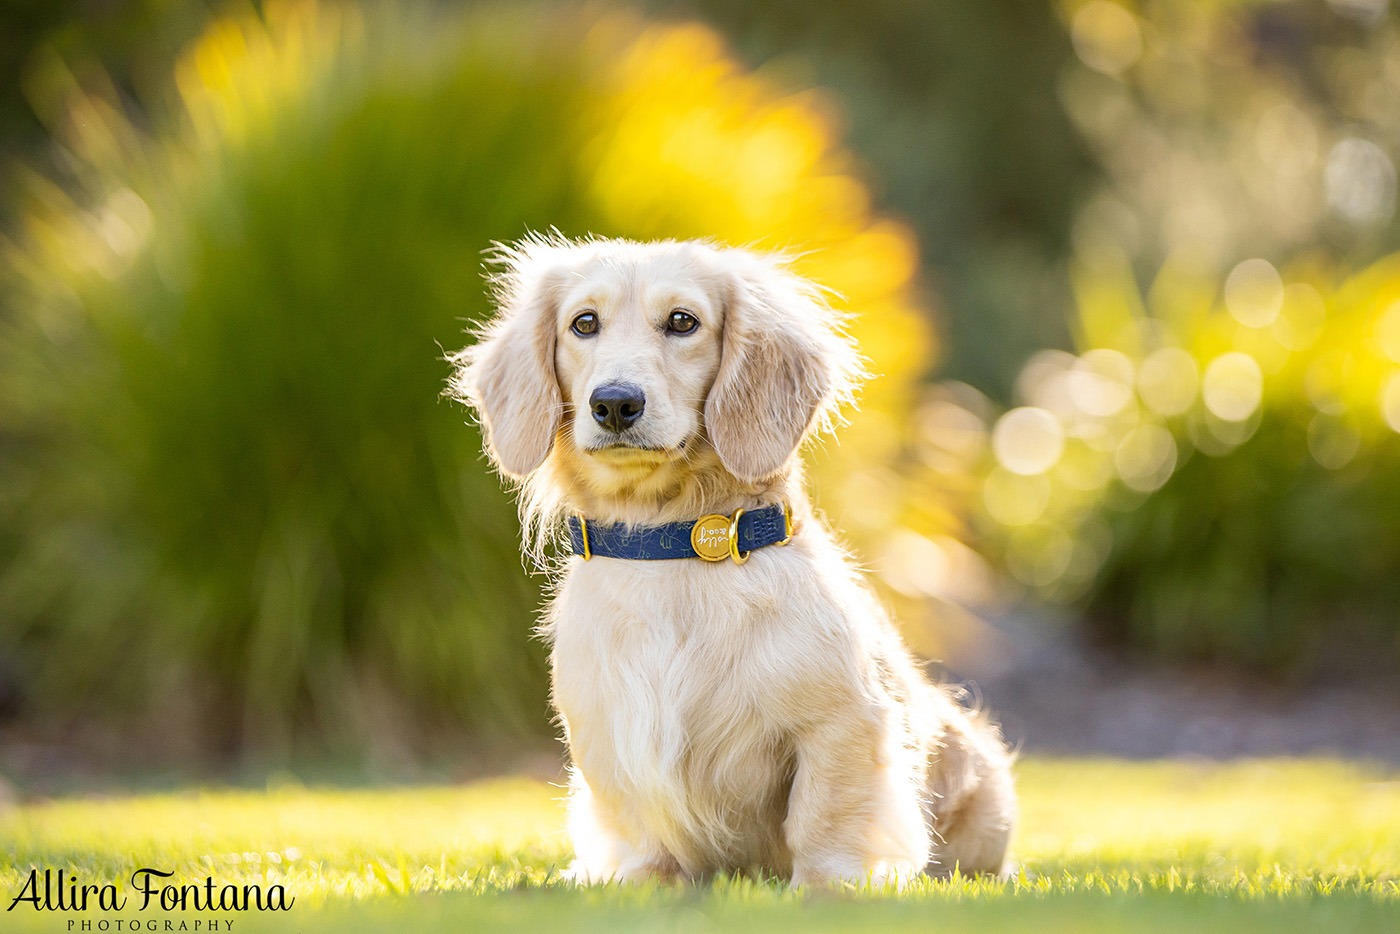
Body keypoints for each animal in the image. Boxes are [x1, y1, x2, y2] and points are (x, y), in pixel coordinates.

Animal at [453, 235, 1013, 890]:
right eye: (583, 323)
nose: (614, 403)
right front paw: (636, 880)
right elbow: (641, 831)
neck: (672, 545)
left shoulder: (841, 725)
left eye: (682, 321)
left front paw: (825, 887)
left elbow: (826, 817)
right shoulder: (609, 739)